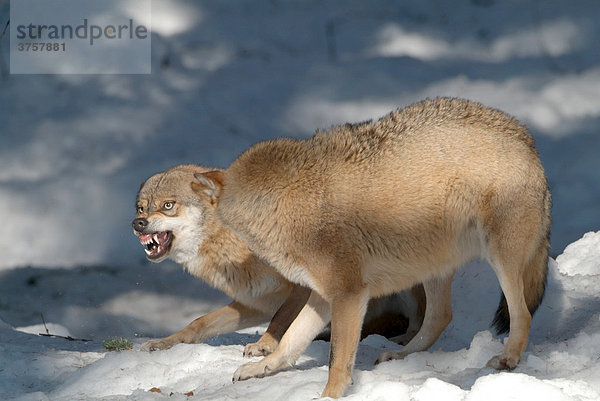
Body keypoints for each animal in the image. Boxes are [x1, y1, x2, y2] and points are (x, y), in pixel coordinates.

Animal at [197, 97, 552, 396]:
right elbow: (289, 342)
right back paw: (400, 355)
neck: (289, 205)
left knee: (522, 314)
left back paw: (507, 360)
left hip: (500, 260)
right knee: (440, 317)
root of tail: (525, 136)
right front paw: (262, 368)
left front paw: (329, 396)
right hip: (432, 269)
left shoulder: (350, 295)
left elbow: (337, 361)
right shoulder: (323, 296)